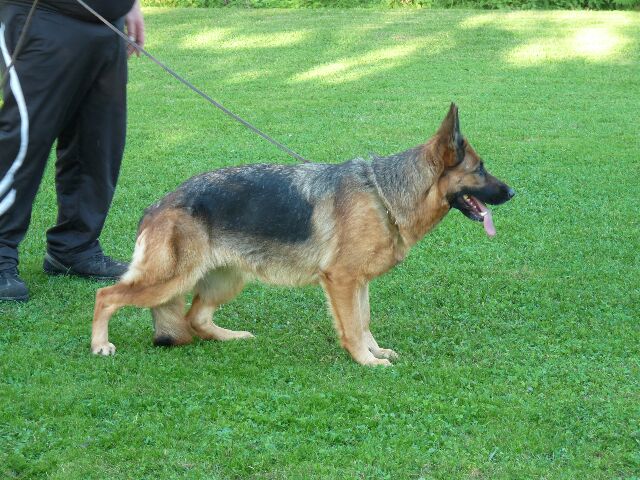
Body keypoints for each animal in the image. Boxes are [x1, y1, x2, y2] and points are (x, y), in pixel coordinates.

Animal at [91, 103, 514, 366]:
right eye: (480, 169)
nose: (512, 192)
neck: (384, 194)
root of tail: (157, 206)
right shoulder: (341, 281)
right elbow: (353, 327)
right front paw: (366, 361)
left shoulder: (358, 283)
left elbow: (364, 321)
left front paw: (375, 352)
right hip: (169, 280)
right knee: (106, 295)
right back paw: (99, 344)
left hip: (226, 280)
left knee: (194, 317)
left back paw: (231, 337)